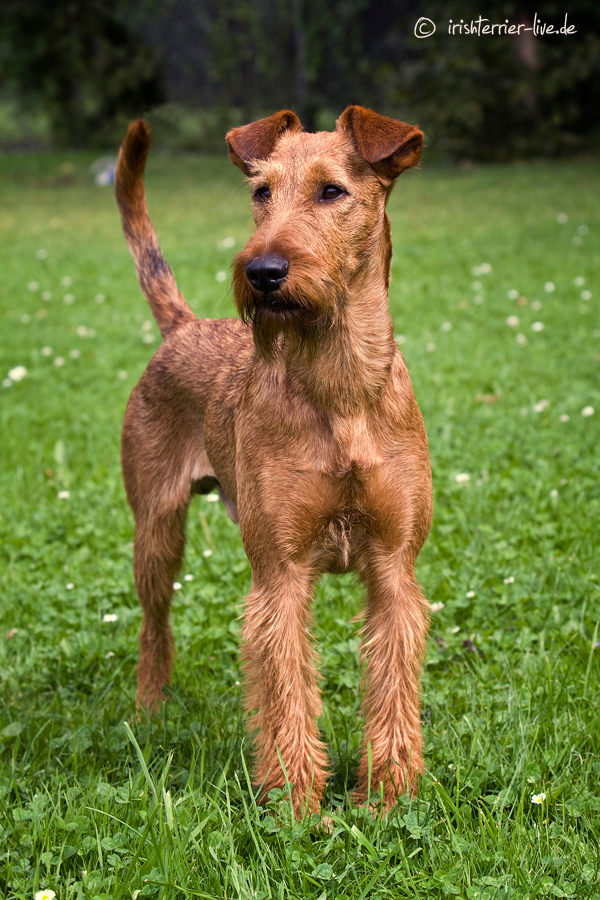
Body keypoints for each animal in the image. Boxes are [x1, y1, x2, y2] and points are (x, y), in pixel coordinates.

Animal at [116, 107, 432, 816]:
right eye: (260, 192)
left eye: (331, 191)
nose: (261, 270)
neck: (340, 388)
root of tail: (182, 326)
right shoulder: (280, 576)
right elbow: (287, 694)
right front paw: (296, 806)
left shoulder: (394, 571)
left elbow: (392, 690)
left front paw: (388, 797)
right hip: (156, 528)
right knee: (154, 627)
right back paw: (149, 711)